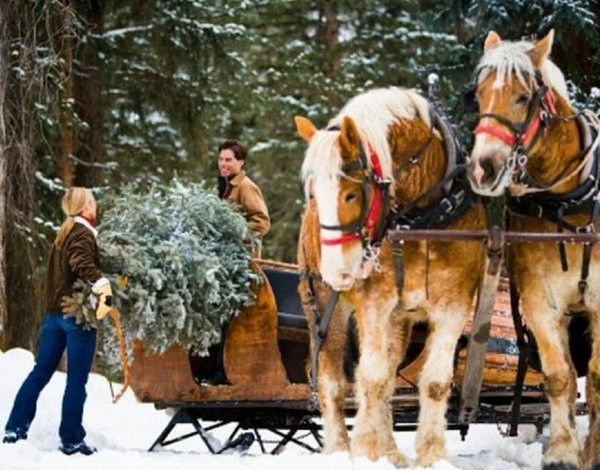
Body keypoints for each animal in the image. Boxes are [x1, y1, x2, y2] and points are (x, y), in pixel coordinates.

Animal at [296, 87, 488, 466]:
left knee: (387, 377)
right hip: (325, 305)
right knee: (332, 380)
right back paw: (340, 448)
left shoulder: (455, 303)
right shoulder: (375, 301)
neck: (421, 220)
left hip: (399, 320)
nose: (336, 271)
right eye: (314, 194)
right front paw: (364, 452)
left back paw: (389, 450)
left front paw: (431, 455)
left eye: (351, 193)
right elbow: (368, 377)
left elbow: (433, 381)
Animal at [468, 31, 600, 468]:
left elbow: (596, 378)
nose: (483, 167)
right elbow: (560, 377)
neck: (567, 204)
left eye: (523, 97)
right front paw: (562, 452)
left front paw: (592, 452)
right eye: (478, 95)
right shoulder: (540, 300)